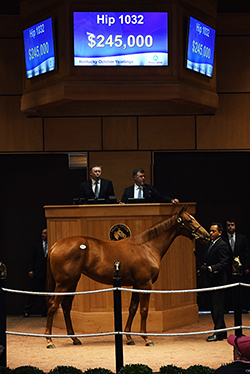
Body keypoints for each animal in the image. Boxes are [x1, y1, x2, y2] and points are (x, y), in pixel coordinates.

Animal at [45, 205, 209, 348]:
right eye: (189, 220)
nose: (206, 236)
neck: (147, 247)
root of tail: (54, 246)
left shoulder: (136, 285)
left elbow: (133, 309)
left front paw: (129, 338)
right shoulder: (145, 284)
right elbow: (144, 310)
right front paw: (146, 338)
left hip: (72, 282)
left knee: (66, 306)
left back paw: (74, 339)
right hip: (63, 284)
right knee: (53, 306)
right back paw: (49, 340)